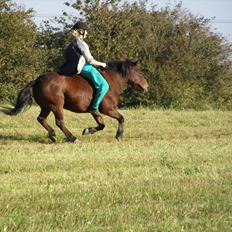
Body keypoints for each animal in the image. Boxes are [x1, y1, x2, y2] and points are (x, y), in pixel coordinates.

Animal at [2, 59, 149, 142]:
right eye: (139, 72)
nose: (147, 86)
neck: (112, 81)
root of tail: (37, 80)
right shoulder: (108, 109)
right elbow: (121, 118)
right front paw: (119, 136)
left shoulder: (95, 111)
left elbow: (101, 125)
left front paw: (88, 130)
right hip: (56, 106)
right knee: (59, 122)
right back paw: (72, 138)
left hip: (47, 106)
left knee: (41, 119)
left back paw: (53, 135)